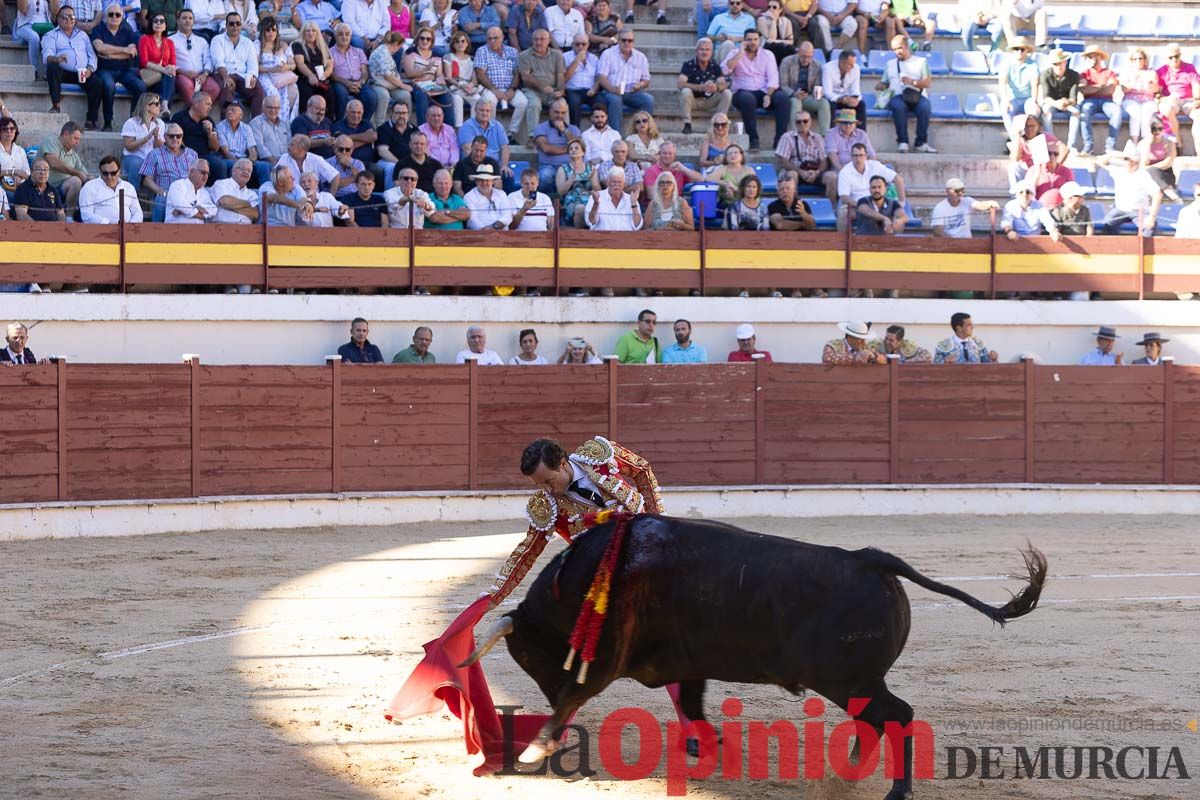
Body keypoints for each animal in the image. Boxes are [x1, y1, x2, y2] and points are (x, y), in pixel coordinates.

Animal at [463, 515, 1046, 796]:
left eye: (530, 656)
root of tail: (873, 559)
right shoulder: (688, 665)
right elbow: (692, 707)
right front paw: (706, 753)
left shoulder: (606, 656)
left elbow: (575, 692)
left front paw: (532, 751)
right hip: (855, 684)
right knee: (874, 722)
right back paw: (845, 776)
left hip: (848, 680)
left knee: (896, 716)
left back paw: (890, 791)